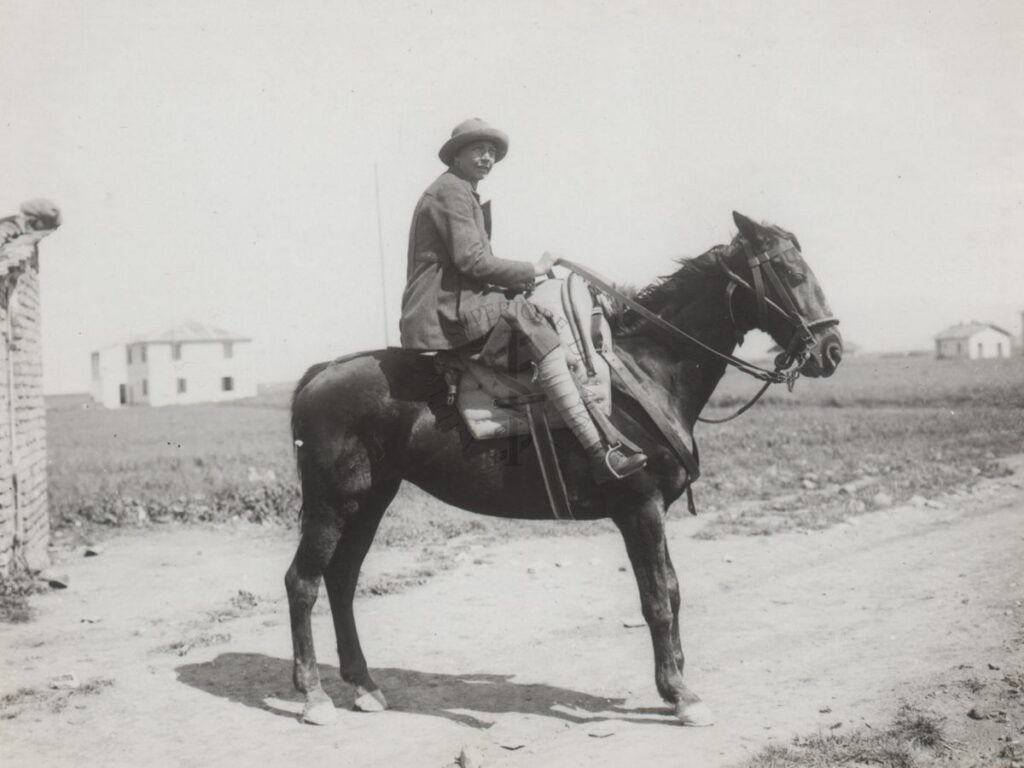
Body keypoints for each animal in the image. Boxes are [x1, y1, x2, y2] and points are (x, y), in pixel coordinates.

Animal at [286, 210, 839, 729]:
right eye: (791, 271)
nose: (831, 350)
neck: (648, 372)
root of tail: (321, 373)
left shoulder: (653, 512)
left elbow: (674, 589)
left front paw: (677, 682)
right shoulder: (641, 510)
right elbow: (657, 599)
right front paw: (680, 693)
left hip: (371, 500)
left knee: (341, 579)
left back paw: (364, 686)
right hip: (334, 502)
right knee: (303, 582)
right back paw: (314, 696)